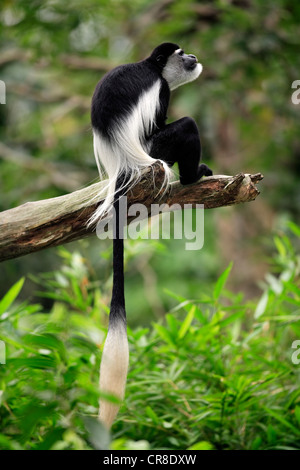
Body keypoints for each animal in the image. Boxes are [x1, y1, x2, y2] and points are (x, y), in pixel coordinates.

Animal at [90, 42, 212, 428]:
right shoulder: (161, 91)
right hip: (154, 151)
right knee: (185, 126)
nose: (194, 58)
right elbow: (167, 121)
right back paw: (191, 176)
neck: (153, 68)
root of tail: (123, 165)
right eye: (182, 53)